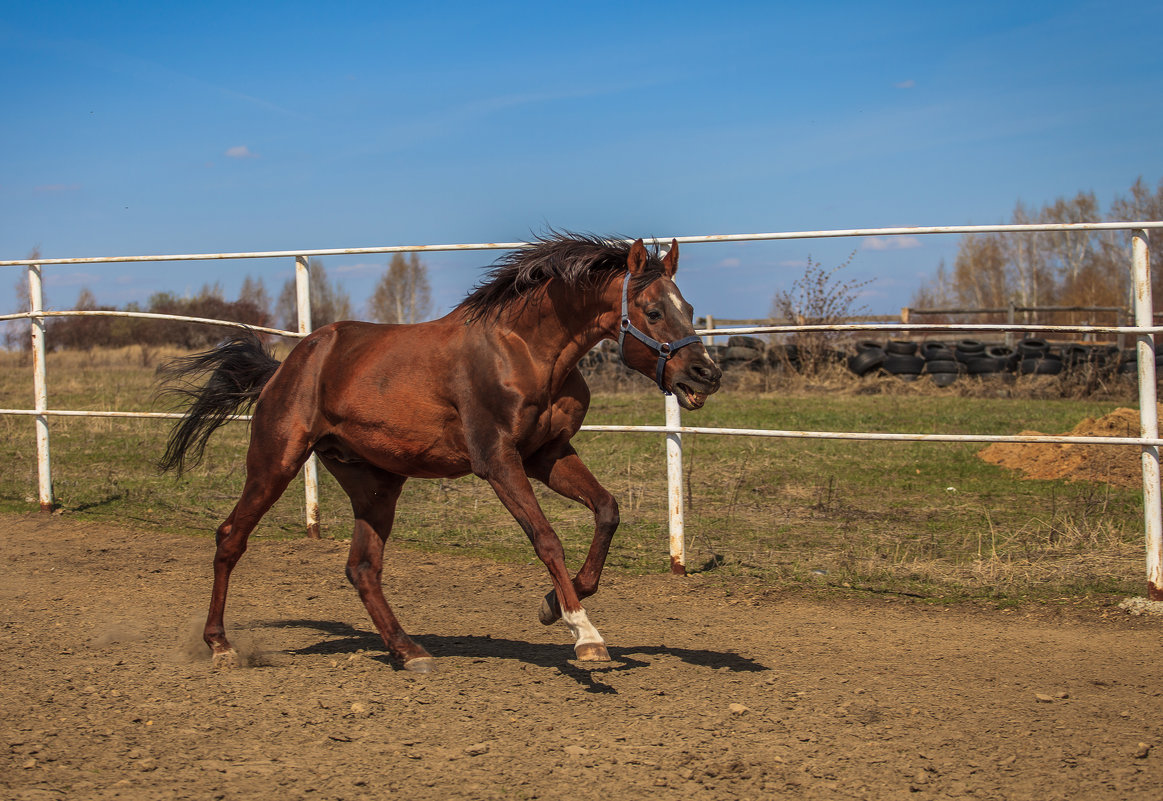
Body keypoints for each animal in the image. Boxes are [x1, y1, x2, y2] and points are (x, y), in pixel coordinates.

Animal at [159, 234, 721, 669]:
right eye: (653, 311)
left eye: (690, 309)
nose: (706, 374)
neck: (525, 351)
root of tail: (286, 366)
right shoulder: (498, 461)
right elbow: (547, 539)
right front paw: (585, 635)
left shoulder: (548, 455)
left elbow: (607, 510)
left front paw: (552, 606)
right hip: (276, 461)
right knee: (231, 537)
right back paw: (221, 646)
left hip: (375, 484)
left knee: (362, 567)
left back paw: (410, 651)